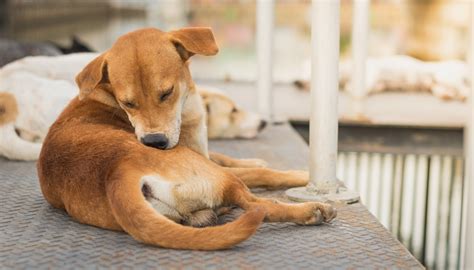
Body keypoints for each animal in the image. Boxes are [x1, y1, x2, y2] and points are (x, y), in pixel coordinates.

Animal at [35, 28, 336, 250]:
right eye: (128, 103)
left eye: (166, 93)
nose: (154, 142)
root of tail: (117, 174)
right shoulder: (205, 158)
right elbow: (264, 173)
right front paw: (298, 175)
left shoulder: (203, 150)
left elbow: (230, 156)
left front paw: (253, 158)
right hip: (222, 179)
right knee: (260, 205)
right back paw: (313, 210)